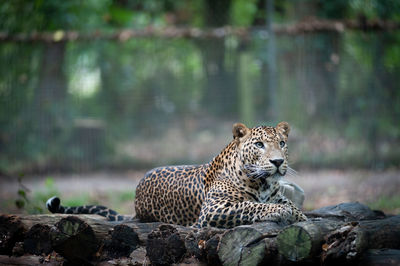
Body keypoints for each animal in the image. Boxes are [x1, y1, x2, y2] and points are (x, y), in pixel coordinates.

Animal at [47, 122, 310, 229]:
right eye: (259, 145)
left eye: (282, 143)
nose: (278, 162)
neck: (263, 184)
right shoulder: (214, 209)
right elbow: (251, 206)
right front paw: (279, 211)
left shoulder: (277, 194)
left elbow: (291, 206)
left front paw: (300, 216)